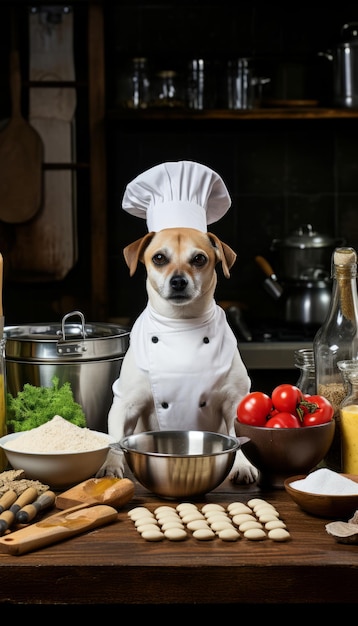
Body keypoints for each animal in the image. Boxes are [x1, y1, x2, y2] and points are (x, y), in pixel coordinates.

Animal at [98, 225, 258, 482]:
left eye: (199, 258)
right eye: (159, 258)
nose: (179, 282)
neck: (181, 325)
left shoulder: (234, 401)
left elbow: (238, 437)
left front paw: (242, 465)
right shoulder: (126, 404)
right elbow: (115, 440)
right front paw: (111, 465)